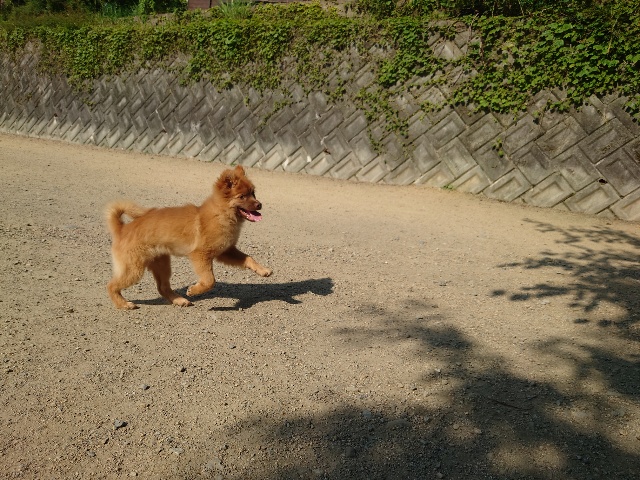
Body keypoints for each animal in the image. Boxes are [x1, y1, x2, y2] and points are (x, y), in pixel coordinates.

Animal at [105, 165, 272, 309]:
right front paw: (195, 290)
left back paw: (179, 300)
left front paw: (262, 270)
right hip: (134, 269)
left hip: (162, 265)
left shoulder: (226, 251)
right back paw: (123, 304)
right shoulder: (201, 255)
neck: (221, 215)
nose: (260, 204)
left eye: (253, 193)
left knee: (162, 287)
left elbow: (249, 258)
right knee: (111, 285)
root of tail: (122, 229)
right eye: (242, 196)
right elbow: (210, 280)